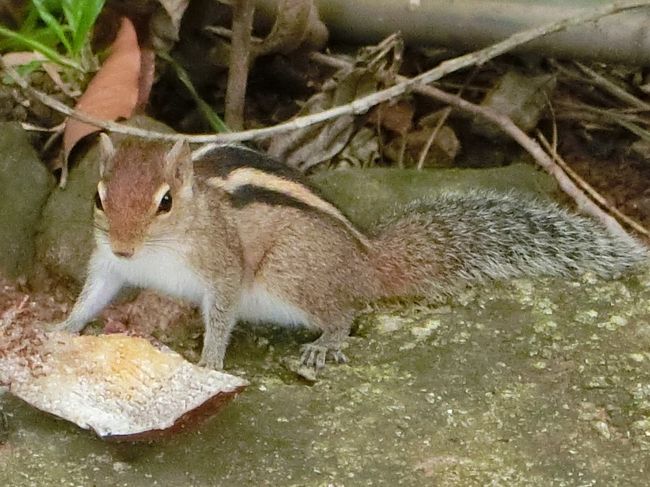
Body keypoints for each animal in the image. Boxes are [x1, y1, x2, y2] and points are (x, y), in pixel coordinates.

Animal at [57, 133, 648, 370]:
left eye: (164, 202)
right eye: (98, 197)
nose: (126, 246)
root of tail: (368, 261)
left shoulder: (222, 266)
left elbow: (222, 312)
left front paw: (209, 361)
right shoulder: (107, 264)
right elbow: (94, 295)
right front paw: (60, 329)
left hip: (289, 275)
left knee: (345, 312)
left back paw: (325, 343)